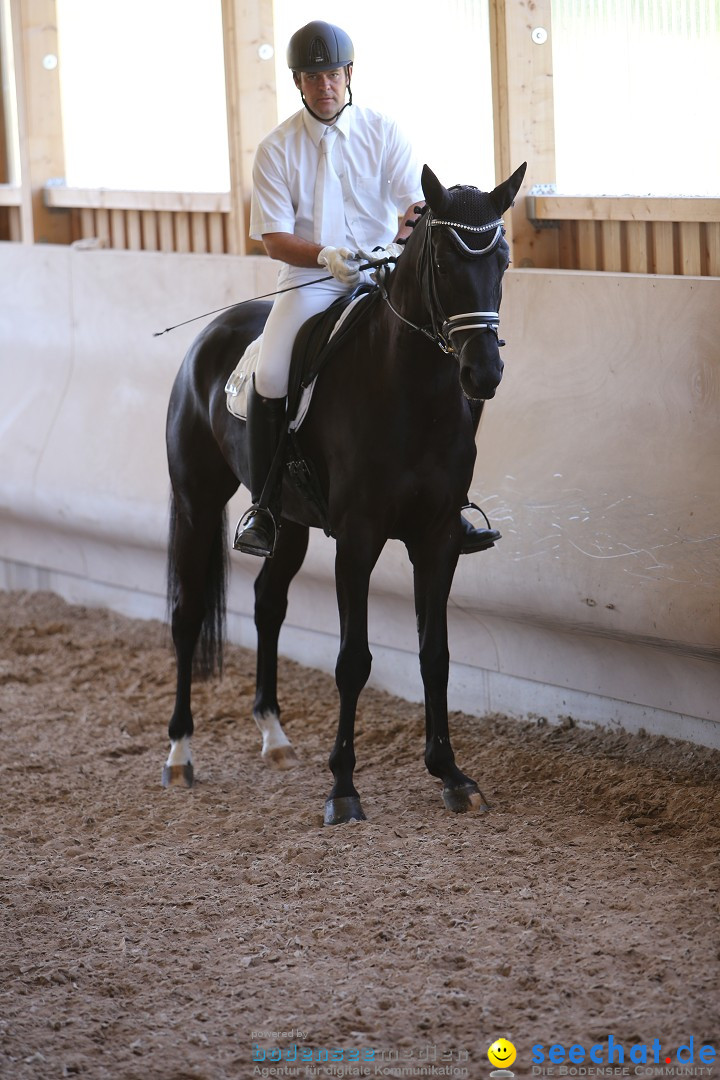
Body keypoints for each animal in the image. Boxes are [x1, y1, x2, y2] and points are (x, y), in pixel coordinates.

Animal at [161, 159, 524, 820]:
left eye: (503, 260)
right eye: (442, 263)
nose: (483, 373)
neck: (411, 392)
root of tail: (209, 337)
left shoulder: (437, 539)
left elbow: (435, 653)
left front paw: (451, 773)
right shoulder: (358, 539)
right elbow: (353, 660)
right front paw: (344, 788)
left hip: (288, 521)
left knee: (268, 601)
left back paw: (274, 736)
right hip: (198, 503)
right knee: (188, 612)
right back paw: (180, 752)